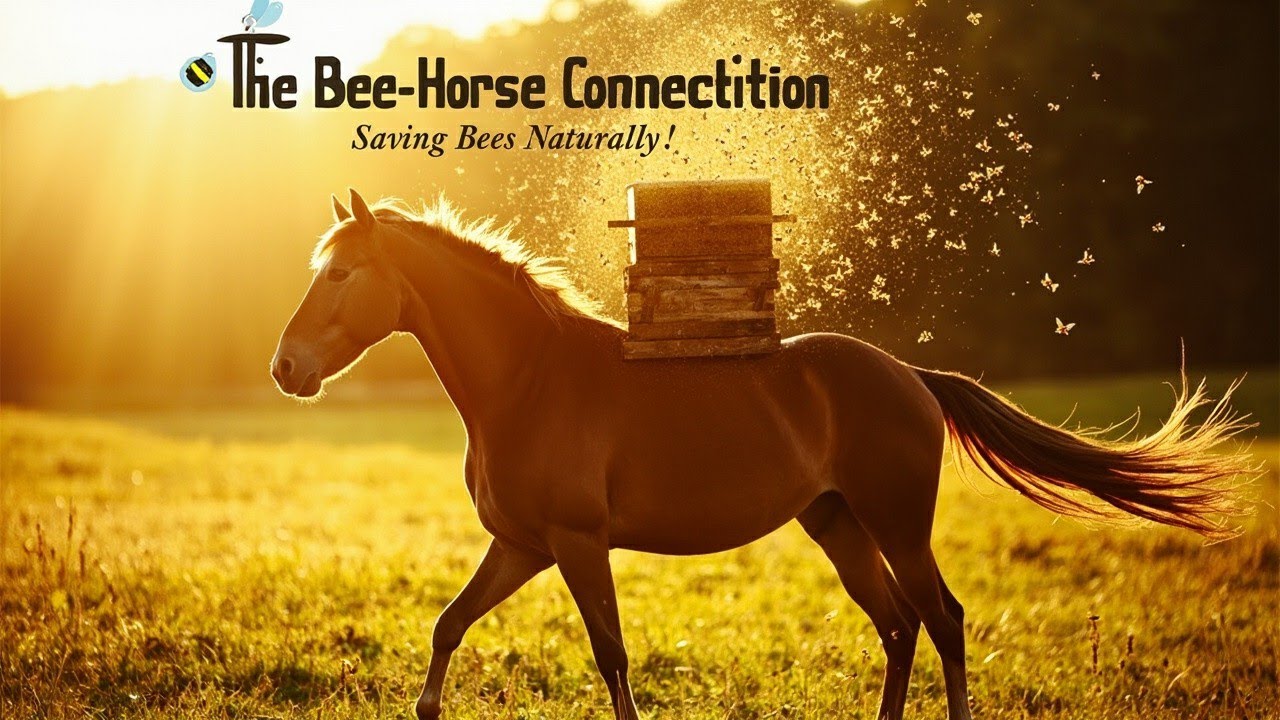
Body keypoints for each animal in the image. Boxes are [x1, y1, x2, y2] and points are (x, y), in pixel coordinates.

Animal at [270, 189, 1251, 720]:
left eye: (341, 274)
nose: (286, 369)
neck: (527, 378)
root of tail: (910, 375)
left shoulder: (577, 545)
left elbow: (612, 656)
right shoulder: (522, 547)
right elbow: (448, 625)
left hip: (897, 524)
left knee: (943, 619)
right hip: (837, 525)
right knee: (899, 625)